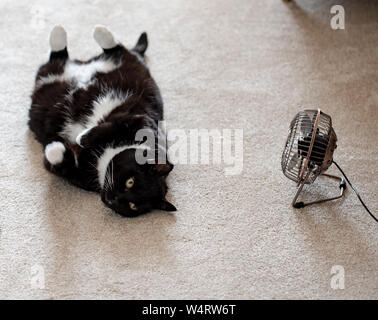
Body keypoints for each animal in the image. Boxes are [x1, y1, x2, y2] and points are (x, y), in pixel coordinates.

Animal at [28, 24, 176, 215]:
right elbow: (110, 125)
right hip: (132, 64)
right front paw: (83, 137)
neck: (103, 157)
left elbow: (64, 166)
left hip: (47, 78)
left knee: (54, 61)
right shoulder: (144, 120)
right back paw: (84, 32)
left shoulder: (82, 176)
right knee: (117, 50)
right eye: (130, 181)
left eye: (132, 206)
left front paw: (54, 149)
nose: (113, 199)